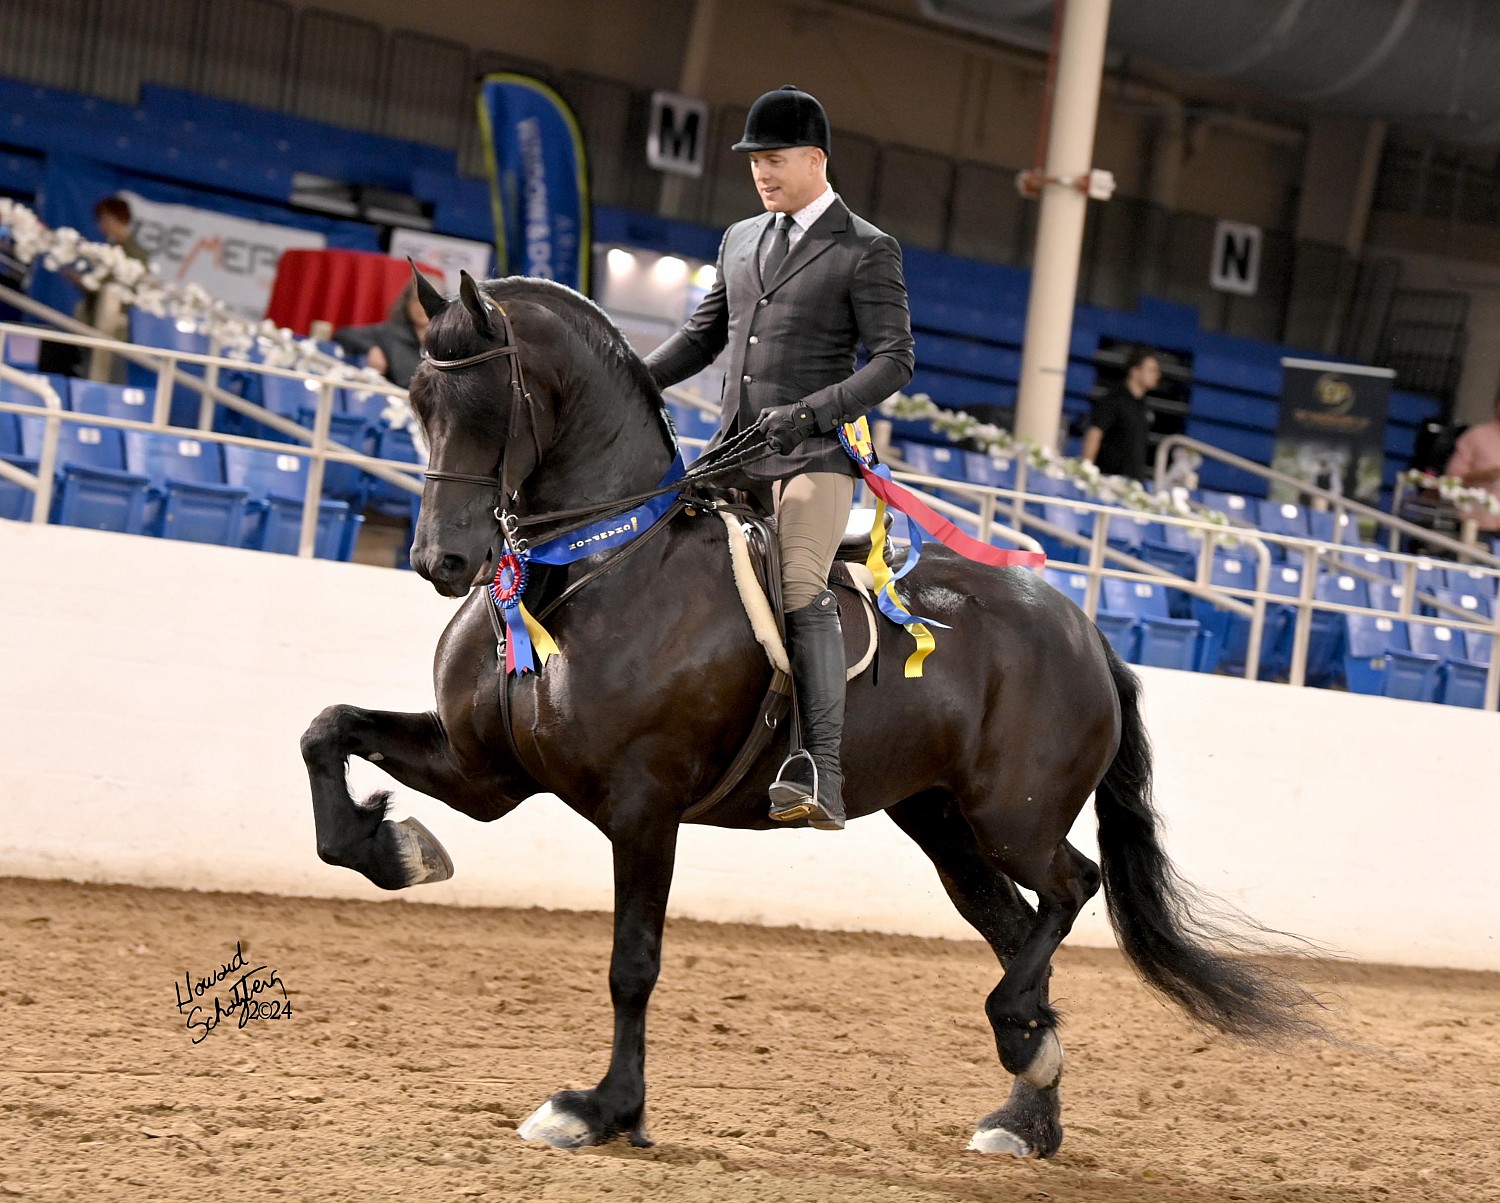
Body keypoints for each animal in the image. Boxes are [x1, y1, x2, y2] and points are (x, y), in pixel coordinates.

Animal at [301, 270, 1314, 1152]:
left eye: (486, 406)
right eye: (418, 402)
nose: (442, 561)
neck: (589, 570)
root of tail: (1084, 627)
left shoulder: (643, 806)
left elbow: (634, 961)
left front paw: (603, 1109)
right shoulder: (488, 773)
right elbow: (327, 732)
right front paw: (397, 846)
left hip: (1011, 818)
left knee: (1072, 887)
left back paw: (1020, 1044)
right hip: (943, 825)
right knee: (1019, 928)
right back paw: (1027, 1107)